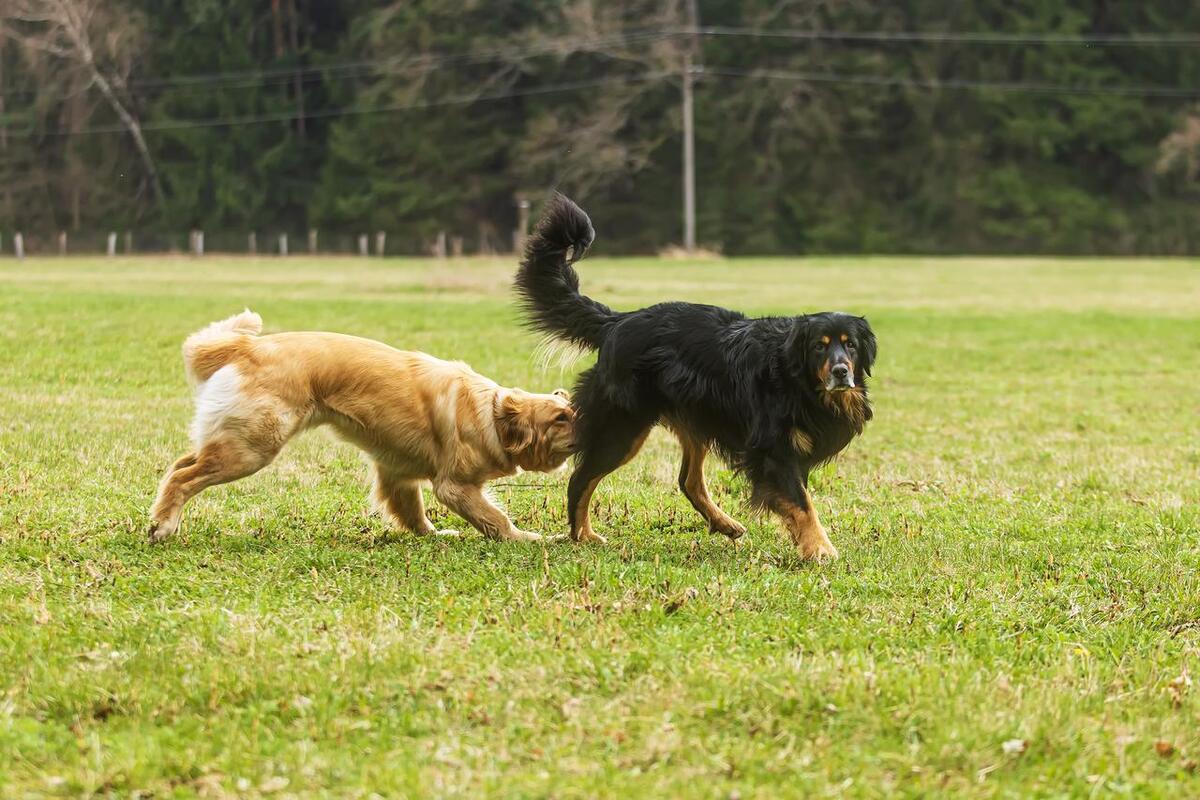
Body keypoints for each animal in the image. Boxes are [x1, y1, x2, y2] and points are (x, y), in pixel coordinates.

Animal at [147, 311, 573, 544]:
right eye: (562, 417)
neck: (493, 416)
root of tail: (250, 346)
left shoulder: (398, 475)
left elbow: (413, 513)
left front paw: (432, 534)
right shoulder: (454, 486)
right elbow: (494, 519)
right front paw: (528, 539)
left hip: (233, 439)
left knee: (179, 465)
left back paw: (162, 516)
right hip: (252, 448)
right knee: (184, 477)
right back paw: (164, 526)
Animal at [511, 194, 878, 561]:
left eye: (851, 345)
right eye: (819, 347)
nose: (841, 372)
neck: (795, 379)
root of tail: (618, 321)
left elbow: (796, 499)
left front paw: (806, 543)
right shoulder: (772, 450)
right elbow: (802, 502)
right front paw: (820, 548)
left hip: (694, 415)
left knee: (688, 480)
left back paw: (724, 523)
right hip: (623, 425)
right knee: (582, 477)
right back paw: (582, 535)